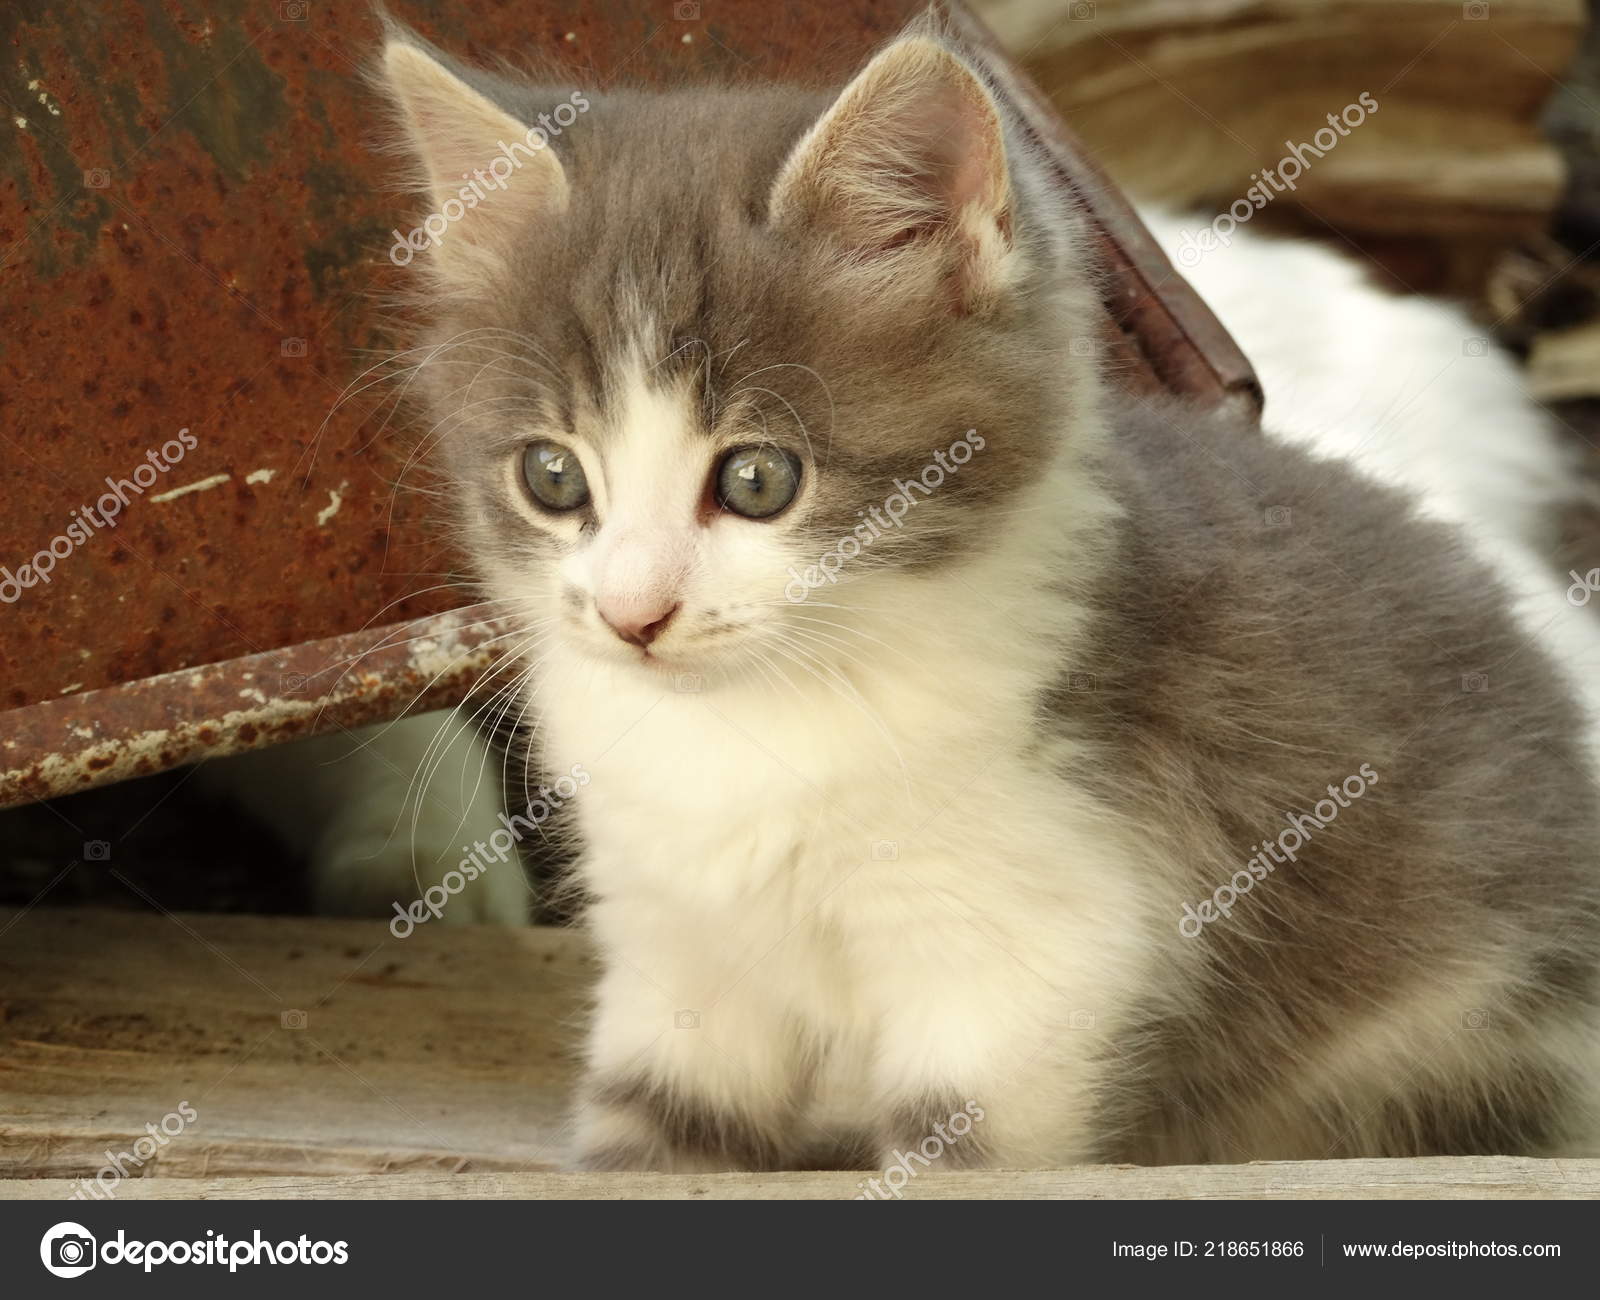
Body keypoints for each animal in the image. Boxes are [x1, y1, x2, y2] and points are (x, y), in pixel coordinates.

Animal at [374, 20, 1600, 1165]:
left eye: (758, 480)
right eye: (552, 476)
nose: (635, 615)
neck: (751, 727)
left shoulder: (1039, 950)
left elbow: (958, 1151)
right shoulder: (677, 951)